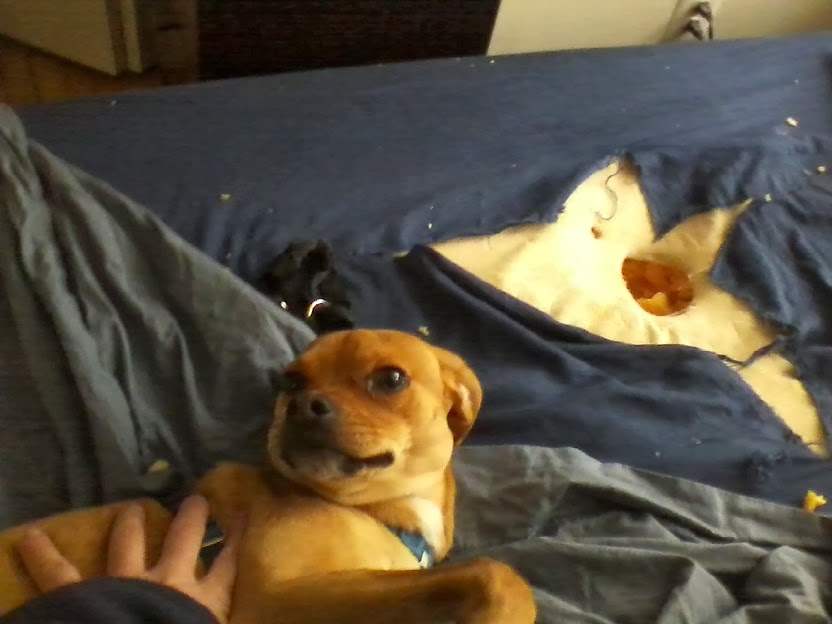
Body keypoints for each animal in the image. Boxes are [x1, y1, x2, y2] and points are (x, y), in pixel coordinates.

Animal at [0, 330, 537, 623]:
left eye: (391, 379)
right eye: (290, 383)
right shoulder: (276, 600)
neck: (371, 510)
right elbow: (495, 573)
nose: (303, 405)